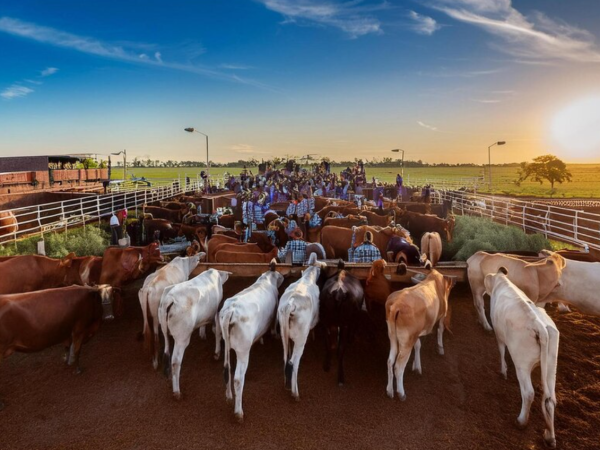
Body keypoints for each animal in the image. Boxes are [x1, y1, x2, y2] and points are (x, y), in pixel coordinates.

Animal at [158, 268, 229, 400]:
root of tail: (168, 300)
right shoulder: (216, 311)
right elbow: (217, 331)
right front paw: (217, 353)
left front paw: (202, 334)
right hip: (182, 337)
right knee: (175, 361)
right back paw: (177, 391)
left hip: (165, 331)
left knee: (166, 353)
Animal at [220, 260, 284, 422]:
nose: (283, 278)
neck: (266, 280)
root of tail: (231, 310)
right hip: (243, 350)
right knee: (238, 378)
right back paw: (238, 412)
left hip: (228, 345)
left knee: (227, 369)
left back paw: (228, 396)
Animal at [278, 253, 326, 400]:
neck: (307, 278)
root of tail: (291, 303)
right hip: (301, 338)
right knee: (293, 361)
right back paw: (295, 393)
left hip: (283, 333)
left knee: (285, 358)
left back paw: (286, 384)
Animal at [386, 268, 452, 400]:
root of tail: (396, 305)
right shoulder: (443, 314)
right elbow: (440, 329)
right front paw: (440, 348)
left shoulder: (415, 333)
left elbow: (418, 345)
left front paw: (416, 367)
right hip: (406, 342)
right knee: (398, 367)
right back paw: (401, 393)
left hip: (393, 337)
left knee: (390, 362)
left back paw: (389, 391)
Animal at [482, 268, 556, 446]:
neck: (502, 281)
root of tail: (540, 327)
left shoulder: (499, 334)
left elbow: (501, 350)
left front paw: (503, 371)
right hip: (551, 366)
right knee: (550, 399)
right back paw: (549, 436)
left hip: (522, 364)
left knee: (528, 393)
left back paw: (521, 421)